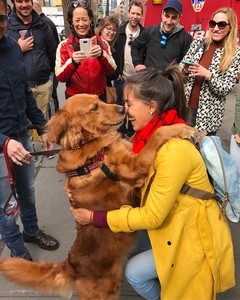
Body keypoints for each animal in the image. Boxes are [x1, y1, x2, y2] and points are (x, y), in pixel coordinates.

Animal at [0, 94, 196, 300]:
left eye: (100, 99)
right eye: (94, 107)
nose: (122, 109)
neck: (90, 148)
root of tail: (72, 264)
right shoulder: (134, 166)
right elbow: (157, 134)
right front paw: (181, 128)